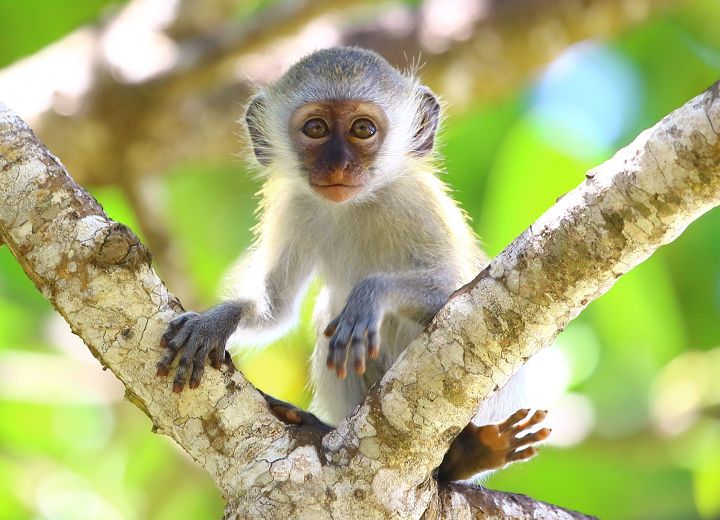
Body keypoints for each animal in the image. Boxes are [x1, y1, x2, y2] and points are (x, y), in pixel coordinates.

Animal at [158, 46, 552, 482]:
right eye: (316, 128)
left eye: (362, 130)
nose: (337, 165)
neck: (358, 205)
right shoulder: (297, 205)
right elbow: (275, 307)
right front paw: (215, 321)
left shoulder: (416, 204)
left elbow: (458, 297)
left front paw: (371, 295)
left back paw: (468, 455)